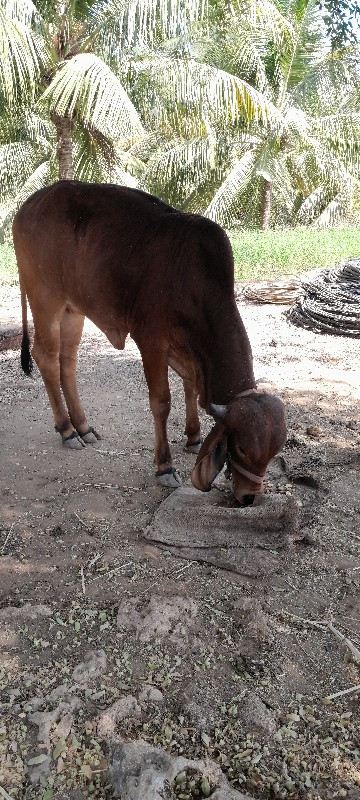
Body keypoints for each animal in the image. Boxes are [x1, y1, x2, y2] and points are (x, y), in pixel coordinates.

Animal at [12, 184, 286, 504]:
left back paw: (83, 426)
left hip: (73, 310)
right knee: (45, 357)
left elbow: (191, 388)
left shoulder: (188, 351)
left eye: (273, 453)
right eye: (241, 448)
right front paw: (164, 467)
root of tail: (29, 204)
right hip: (46, 302)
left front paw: (193, 437)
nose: (249, 497)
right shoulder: (151, 341)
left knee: (67, 363)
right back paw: (67, 430)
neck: (193, 278)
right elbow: (162, 402)